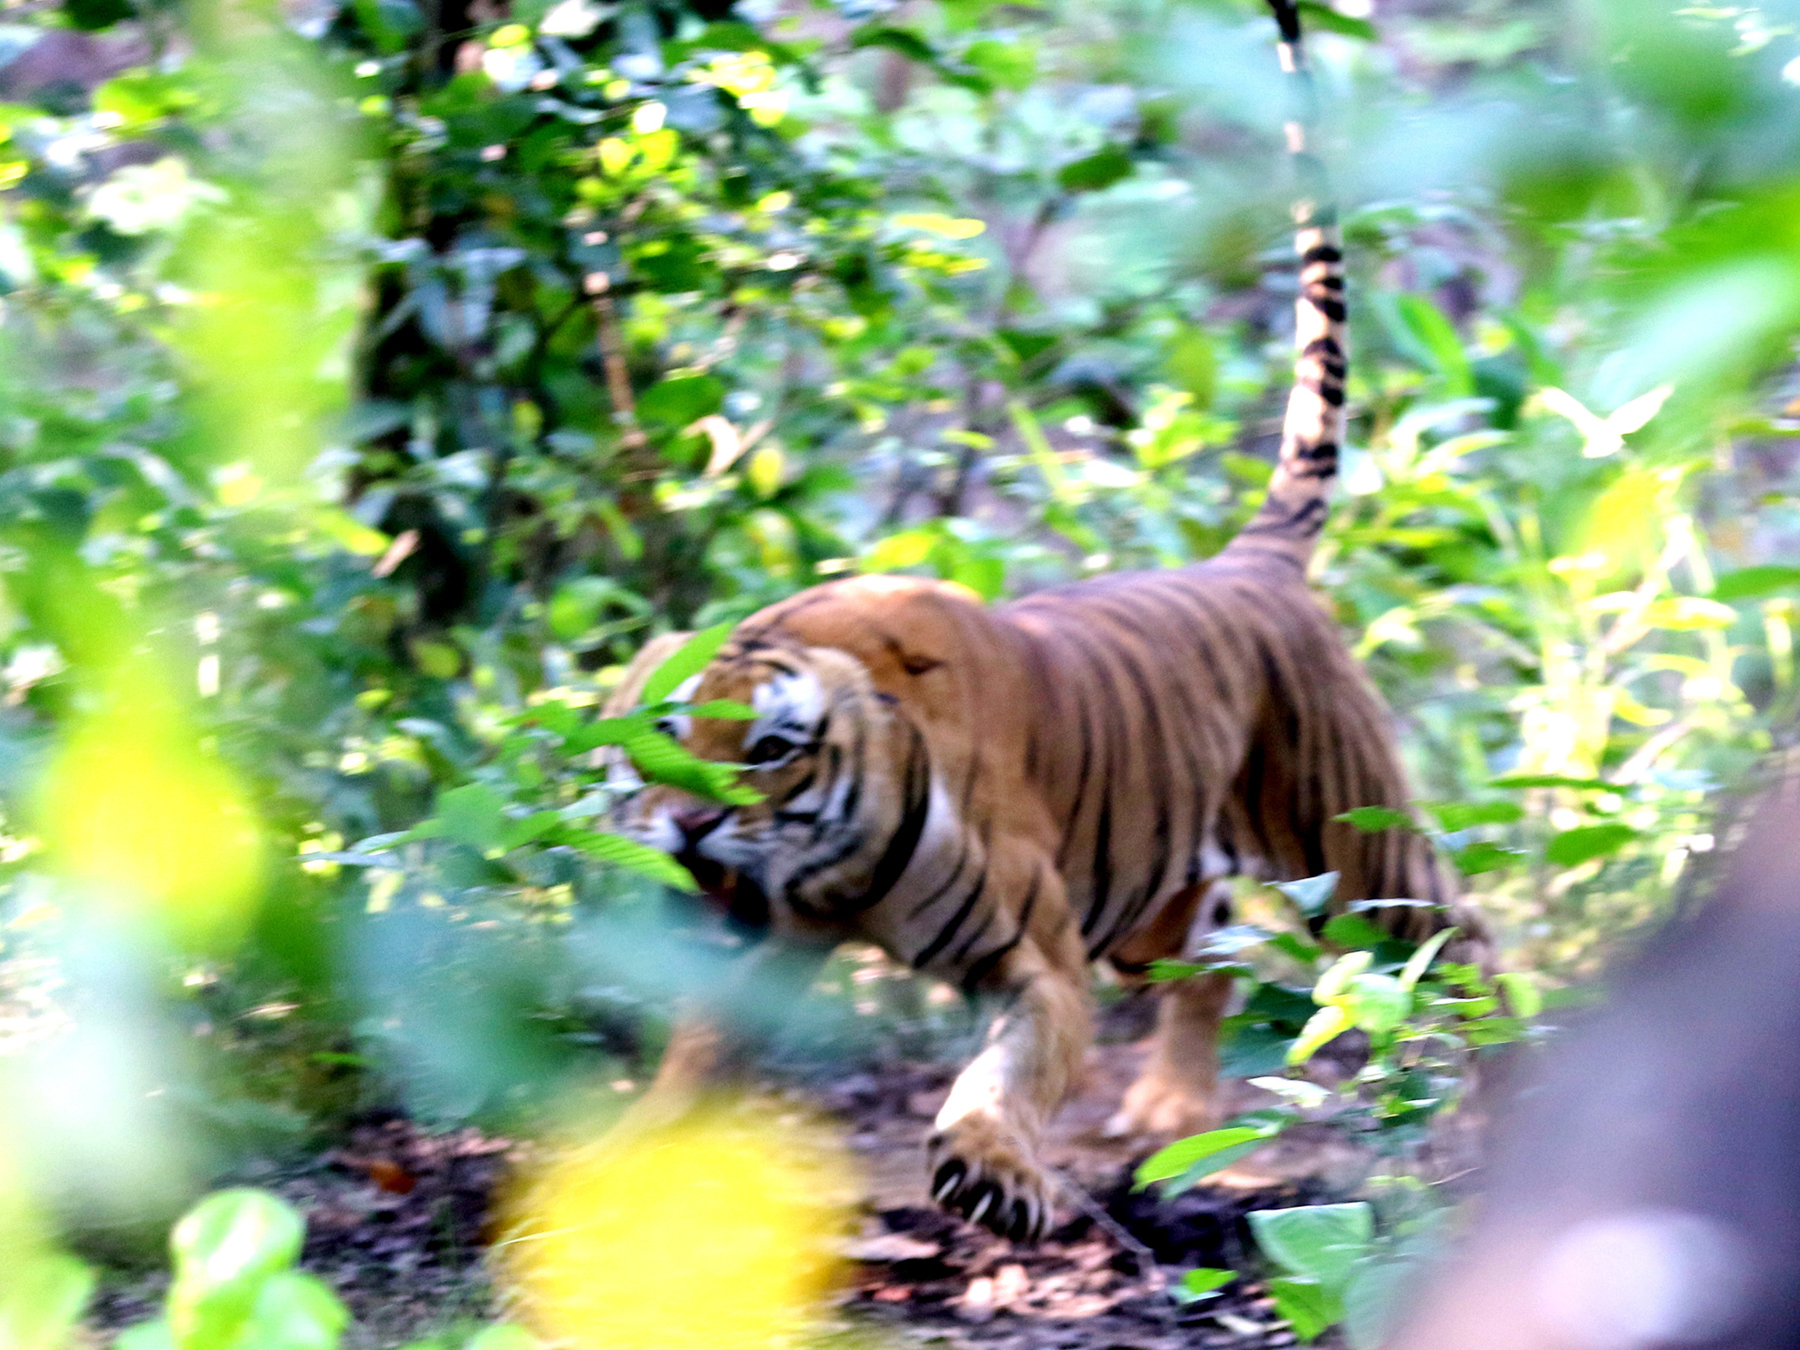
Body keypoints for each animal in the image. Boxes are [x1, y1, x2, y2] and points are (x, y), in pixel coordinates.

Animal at [601, 0, 1476, 1245]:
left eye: (768, 749)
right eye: (659, 741)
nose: (686, 830)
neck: (824, 878)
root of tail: (1250, 561)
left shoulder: (1038, 962)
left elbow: (1003, 1074)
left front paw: (990, 1171)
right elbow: (698, 1055)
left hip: (1355, 853)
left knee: (1465, 948)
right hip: (1152, 897)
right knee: (1211, 956)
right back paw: (1169, 1113)